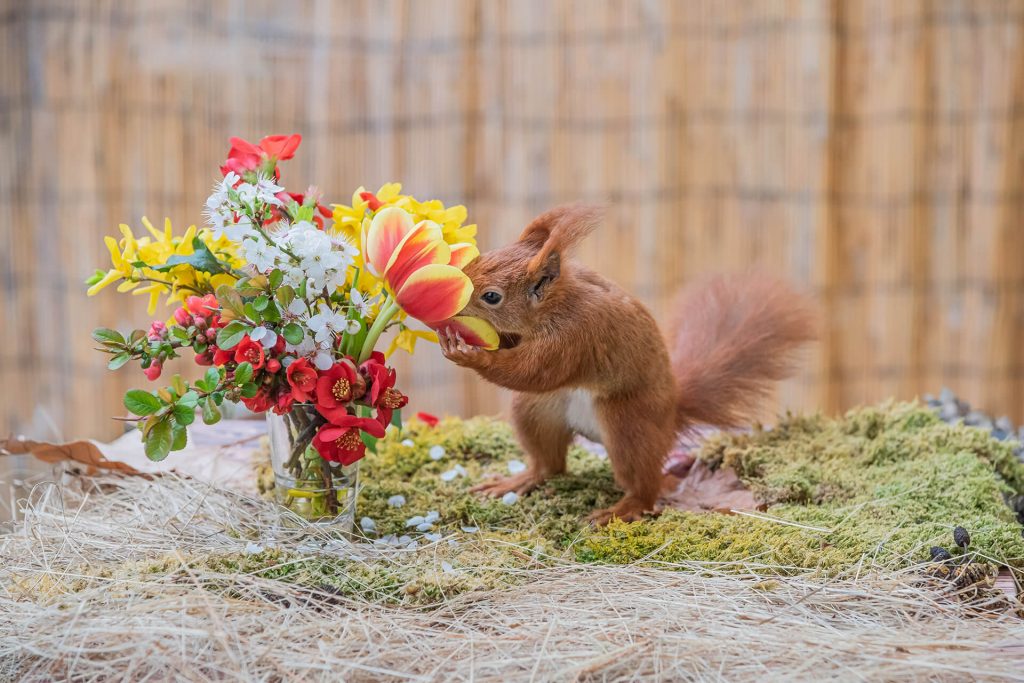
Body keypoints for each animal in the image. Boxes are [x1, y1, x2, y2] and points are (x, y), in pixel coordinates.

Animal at [436, 205, 817, 524]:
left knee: (643, 484)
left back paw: (624, 509)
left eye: (491, 296)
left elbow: (535, 372)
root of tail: (671, 415)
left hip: (627, 423)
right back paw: (519, 480)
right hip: (536, 412)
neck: (557, 304)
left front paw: (471, 354)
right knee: (550, 464)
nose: (452, 304)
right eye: (480, 259)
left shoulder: (576, 335)